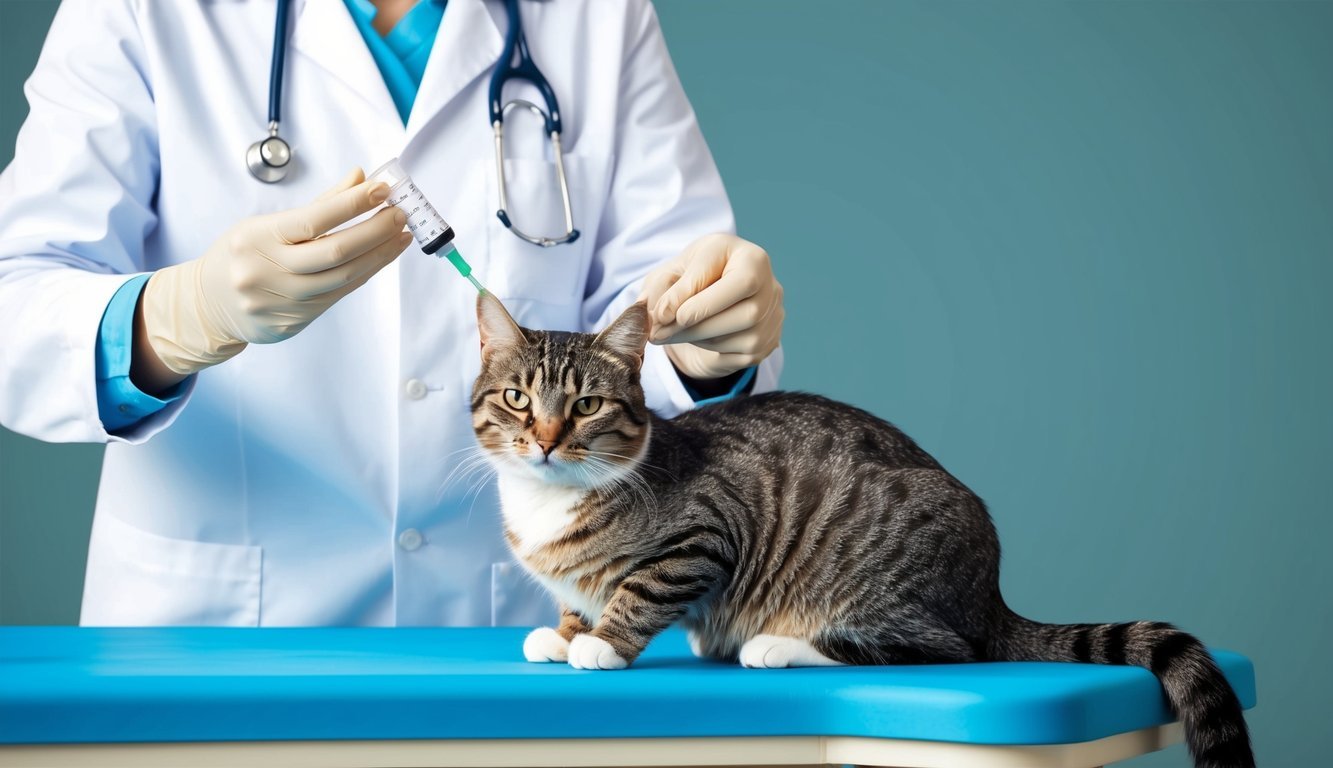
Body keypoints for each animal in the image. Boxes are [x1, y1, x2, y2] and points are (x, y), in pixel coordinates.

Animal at [466, 292, 1247, 768]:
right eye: (517, 398)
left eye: (587, 406)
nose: (545, 439)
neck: (549, 500)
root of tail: (990, 597)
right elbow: (576, 597)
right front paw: (565, 631)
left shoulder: (702, 537)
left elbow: (638, 592)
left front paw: (599, 643)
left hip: (875, 578)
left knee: (937, 650)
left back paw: (777, 646)